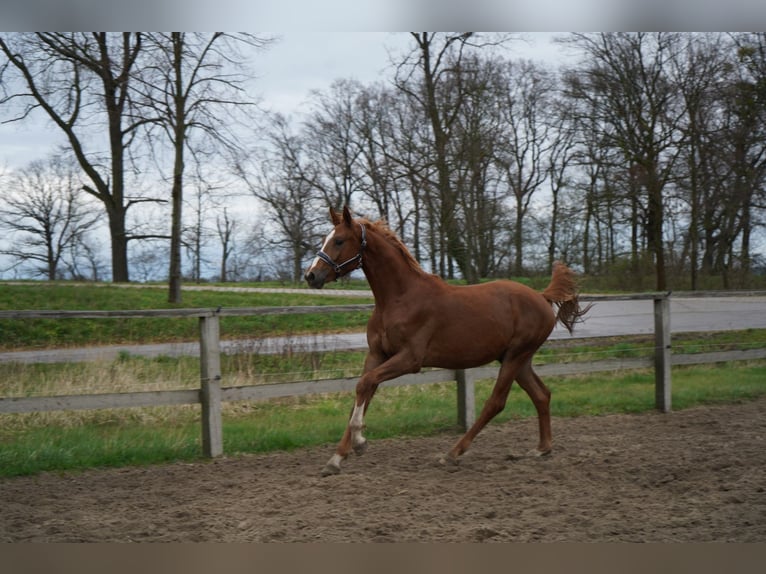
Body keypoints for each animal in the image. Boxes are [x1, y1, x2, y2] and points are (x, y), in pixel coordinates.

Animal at [304, 207, 592, 476]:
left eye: (339, 240)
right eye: (325, 238)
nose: (311, 276)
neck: (399, 299)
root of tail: (541, 297)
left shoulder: (410, 359)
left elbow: (364, 384)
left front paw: (360, 441)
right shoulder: (377, 355)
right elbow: (363, 390)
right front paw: (336, 459)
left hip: (515, 356)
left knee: (496, 402)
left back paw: (452, 453)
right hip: (519, 359)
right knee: (541, 395)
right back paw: (542, 448)